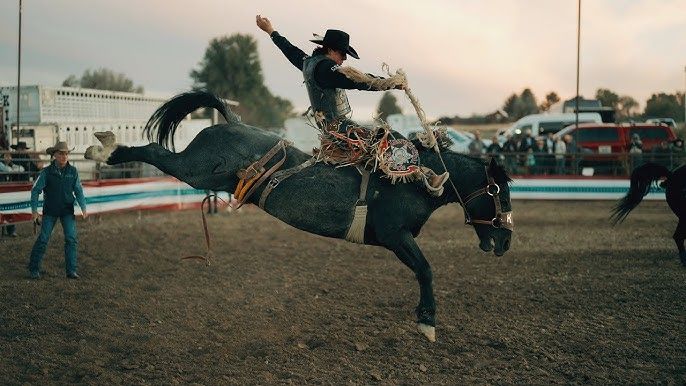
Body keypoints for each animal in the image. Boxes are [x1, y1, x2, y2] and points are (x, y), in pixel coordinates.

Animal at [84, 92, 516, 342]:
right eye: (499, 191)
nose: (506, 240)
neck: (412, 179)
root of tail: (232, 123)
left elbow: (424, 270)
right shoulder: (396, 236)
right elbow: (425, 270)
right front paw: (427, 321)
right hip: (195, 170)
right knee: (157, 153)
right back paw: (104, 149)